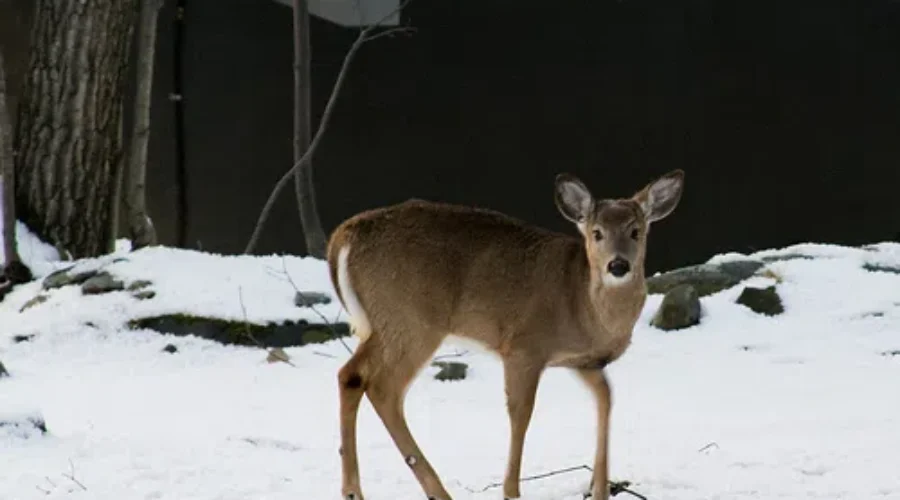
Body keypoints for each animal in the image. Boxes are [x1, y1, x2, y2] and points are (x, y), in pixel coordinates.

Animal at [326, 169, 685, 500]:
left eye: (635, 231)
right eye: (597, 233)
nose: (618, 265)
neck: (581, 302)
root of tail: (343, 236)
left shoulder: (583, 362)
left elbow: (606, 399)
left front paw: (600, 489)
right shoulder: (524, 347)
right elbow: (521, 414)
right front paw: (511, 491)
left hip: (385, 325)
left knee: (351, 375)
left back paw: (355, 490)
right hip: (411, 321)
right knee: (382, 388)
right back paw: (433, 491)